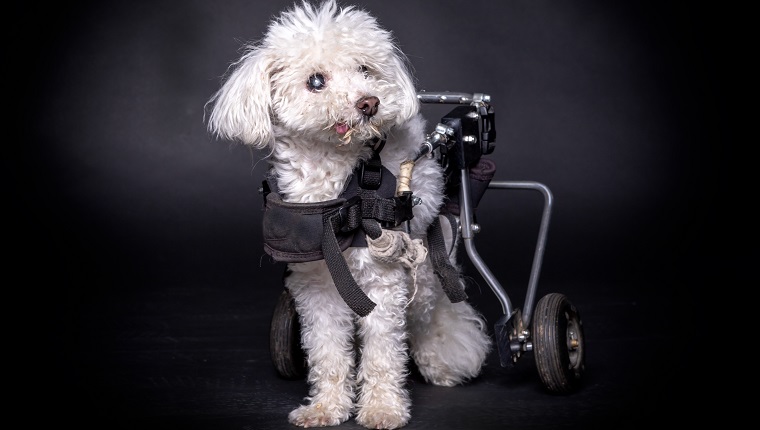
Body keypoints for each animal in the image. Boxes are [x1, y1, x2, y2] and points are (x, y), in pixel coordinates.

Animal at [206, 1, 492, 428]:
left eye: (365, 69)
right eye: (316, 81)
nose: (369, 102)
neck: (334, 181)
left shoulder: (382, 282)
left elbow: (383, 354)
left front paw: (382, 408)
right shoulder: (315, 285)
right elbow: (326, 350)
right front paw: (326, 406)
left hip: (425, 267)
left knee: (431, 314)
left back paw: (446, 356)